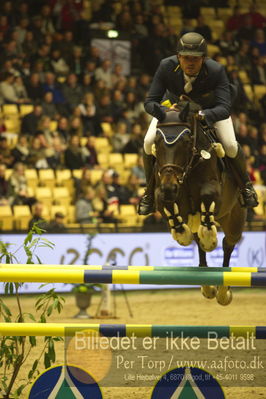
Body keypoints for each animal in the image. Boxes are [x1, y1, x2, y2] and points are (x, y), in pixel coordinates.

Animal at [154, 102, 247, 306]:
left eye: (186, 141)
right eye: (156, 143)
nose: (170, 187)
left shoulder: (213, 189)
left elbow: (207, 194)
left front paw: (209, 238)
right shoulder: (162, 190)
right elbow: (165, 202)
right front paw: (182, 234)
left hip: (234, 219)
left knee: (228, 244)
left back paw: (222, 292)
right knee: (199, 242)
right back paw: (207, 286)